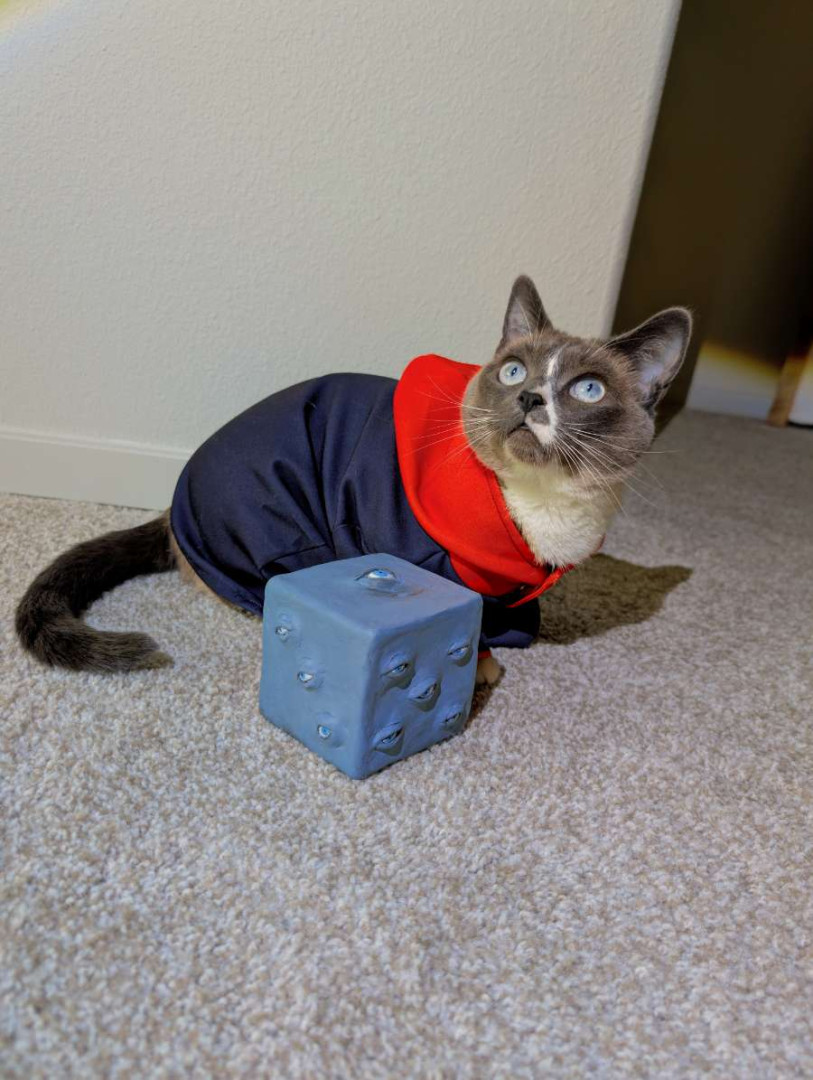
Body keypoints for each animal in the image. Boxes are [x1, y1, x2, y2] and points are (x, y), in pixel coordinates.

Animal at [15, 276, 691, 685]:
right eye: (514, 371)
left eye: (588, 389)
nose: (529, 398)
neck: (540, 507)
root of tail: (173, 510)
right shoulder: (404, 544)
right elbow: (463, 615)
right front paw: (480, 665)